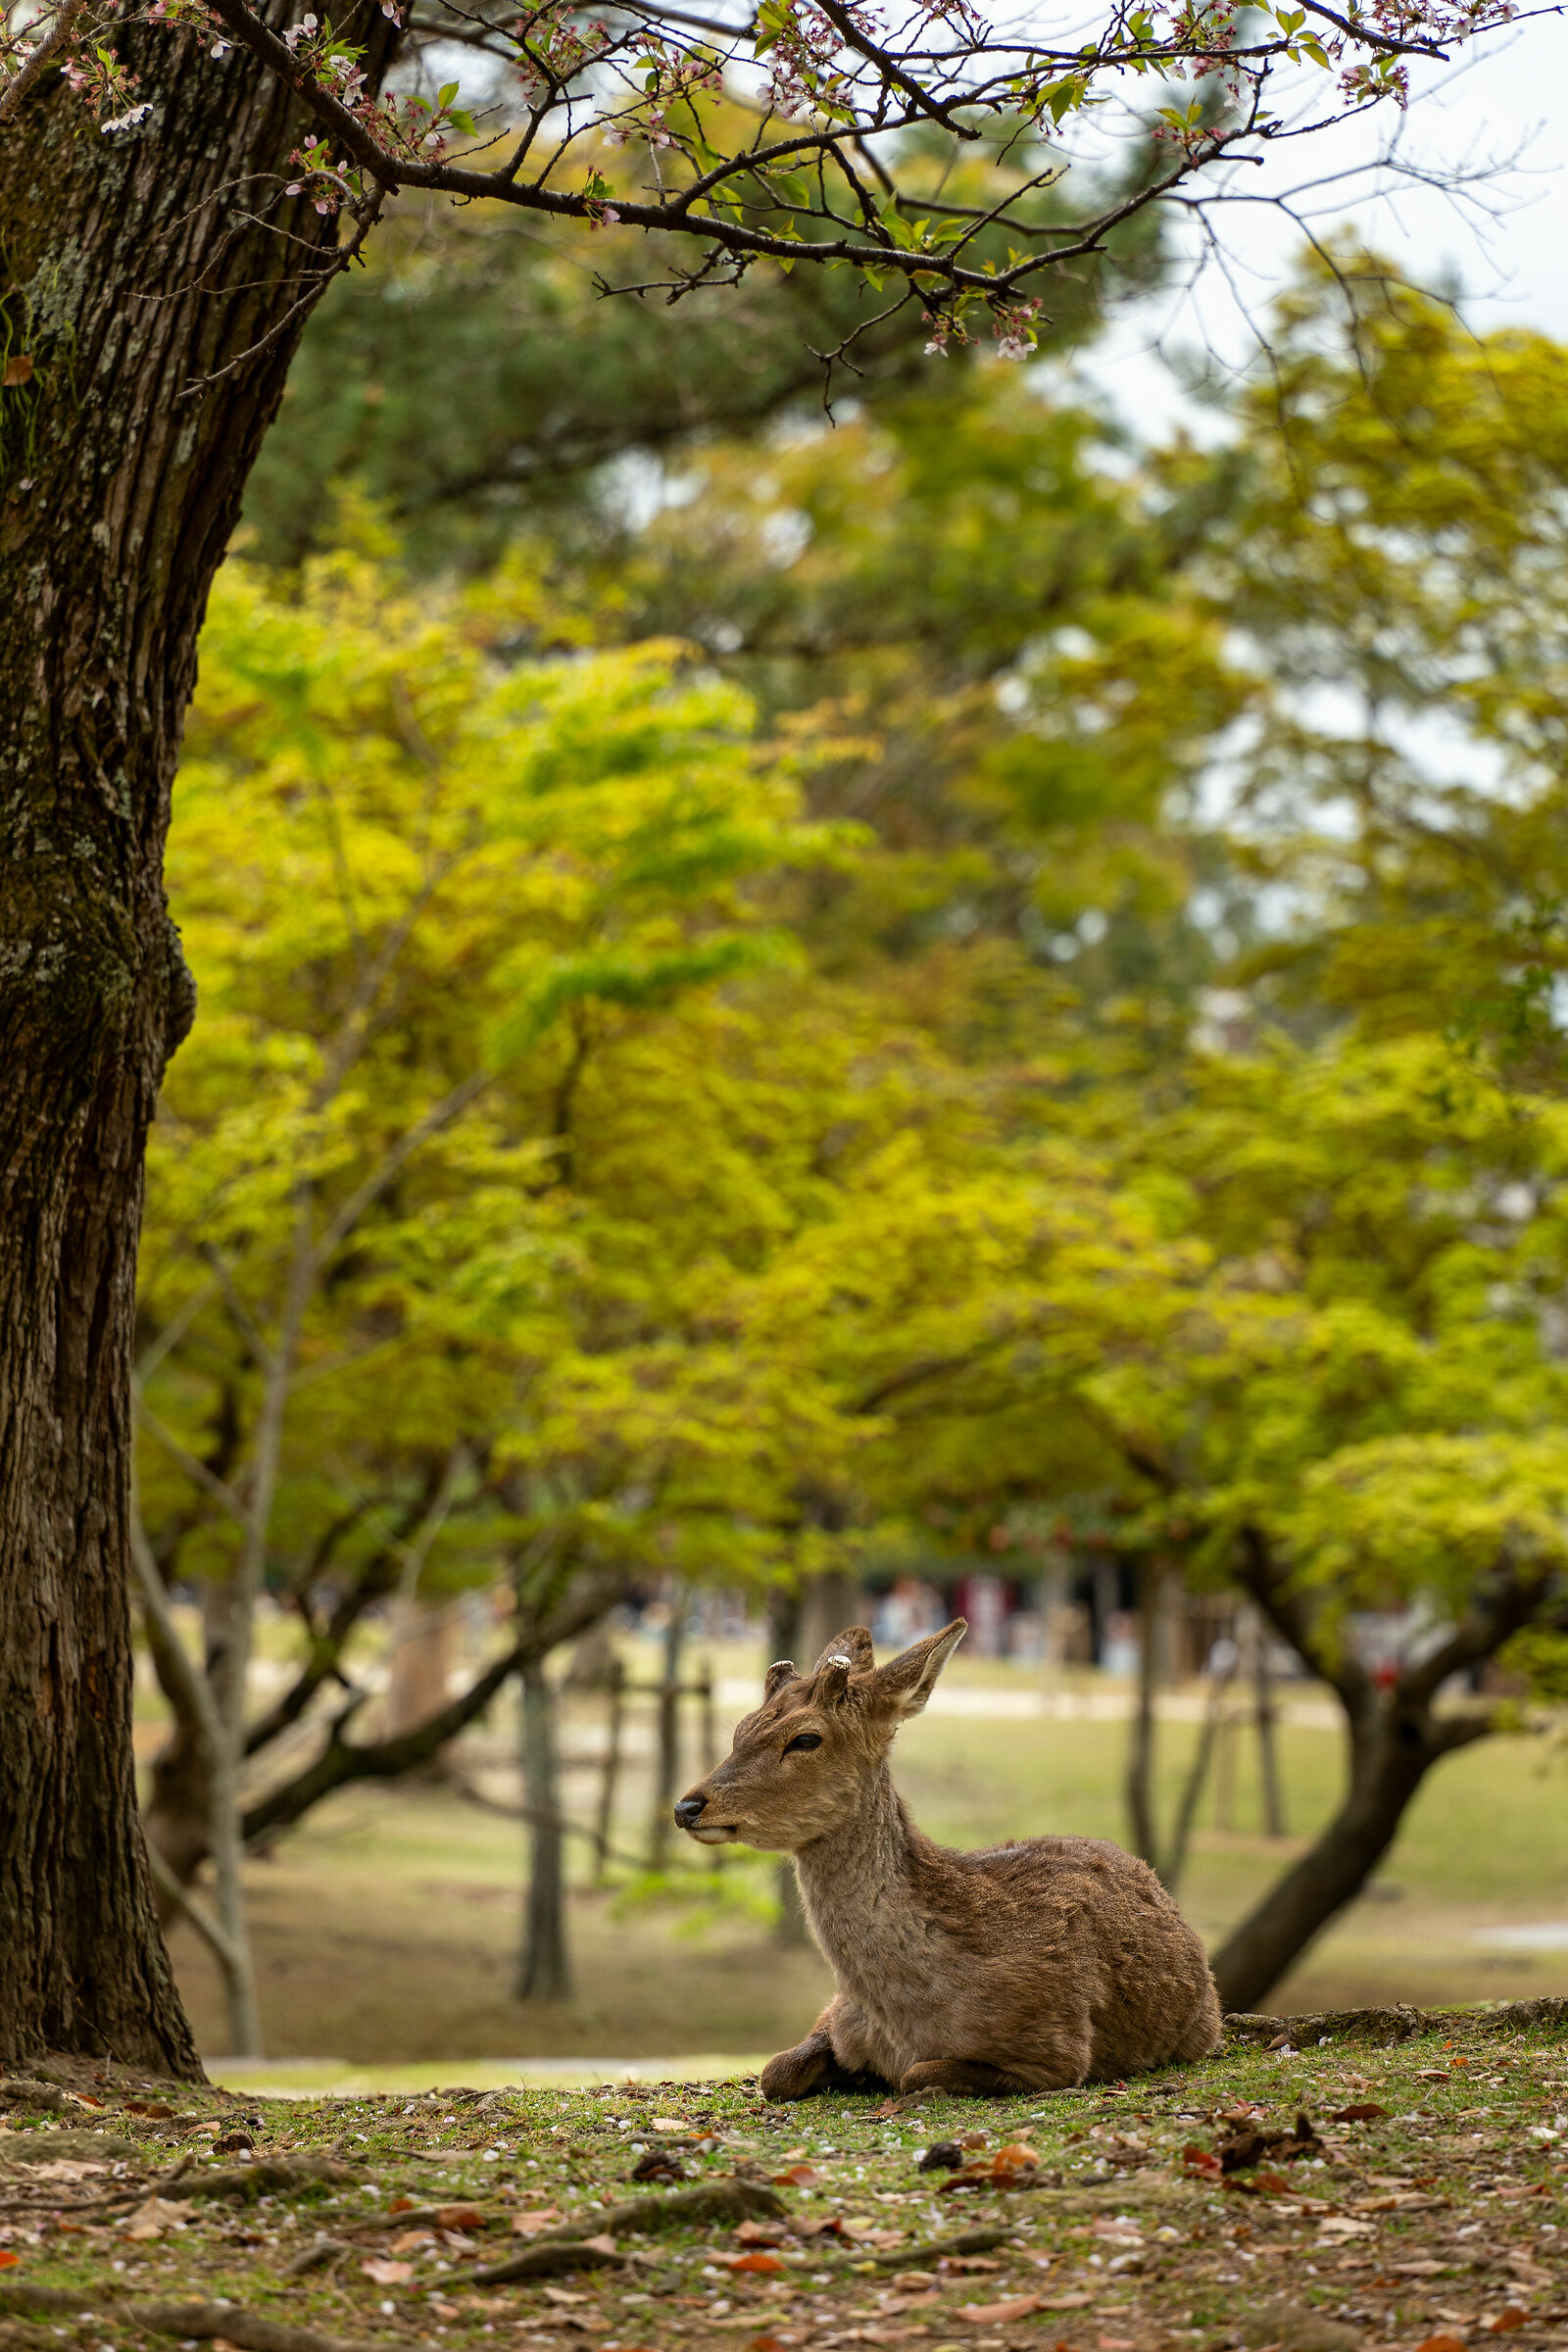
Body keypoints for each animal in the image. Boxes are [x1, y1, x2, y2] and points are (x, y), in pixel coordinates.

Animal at [673, 1618, 1221, 2099]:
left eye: (806, 1738)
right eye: (741, 1728)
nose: (687, 1807)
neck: (901, 2017)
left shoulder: (1057, 2049)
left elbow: (917, 2075)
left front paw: (877, 2078)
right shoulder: (834, 2013)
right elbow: (775, 2071)